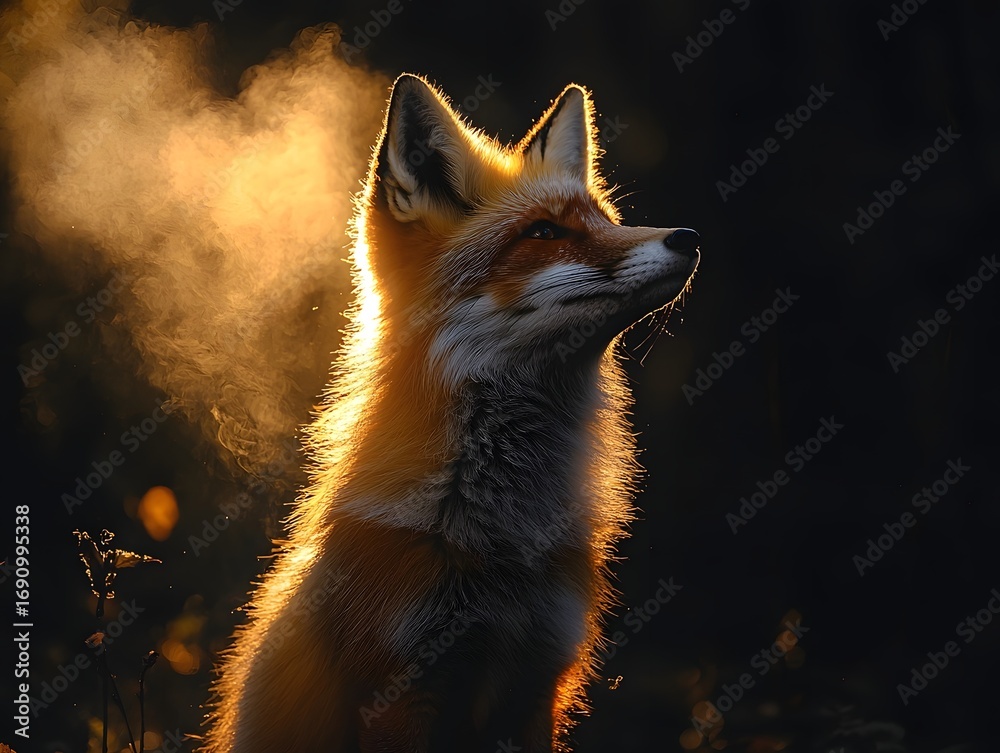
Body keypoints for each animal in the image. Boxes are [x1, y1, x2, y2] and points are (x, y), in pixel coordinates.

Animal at [202, 73, 700, 753]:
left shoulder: (536, 683)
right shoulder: (399, 687)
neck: (499, 541)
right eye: (544, 233)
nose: (689, 238)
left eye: (606, 221)